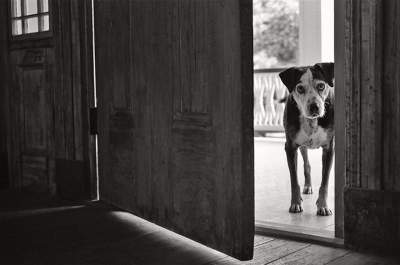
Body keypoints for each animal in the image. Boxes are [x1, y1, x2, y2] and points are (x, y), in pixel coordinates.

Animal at [278, 63, 334, 216]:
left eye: (321, 86)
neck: (311, 121)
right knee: (306, 164)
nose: (314, 107)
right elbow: (294, 180)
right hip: (301, 146)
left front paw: (323, 206)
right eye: (300, 88)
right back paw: (307, 186)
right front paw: (295, 203)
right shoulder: (290, 147)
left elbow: (325, 182)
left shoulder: (329, 148)